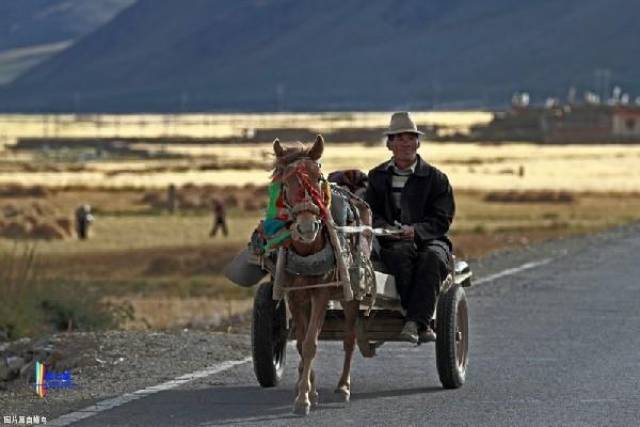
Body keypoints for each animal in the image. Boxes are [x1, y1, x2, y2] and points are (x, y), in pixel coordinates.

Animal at [272, 136, 362, 414]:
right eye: (284, 182)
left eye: (317, 177)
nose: (307, 227)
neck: (307, 250)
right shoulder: (294, 295)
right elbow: (302, 343)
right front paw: (306, 389)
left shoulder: (321, 293)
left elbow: (311, 343)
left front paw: (303, 399)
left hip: (350, 296)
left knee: (349, 338)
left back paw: (343, 386)